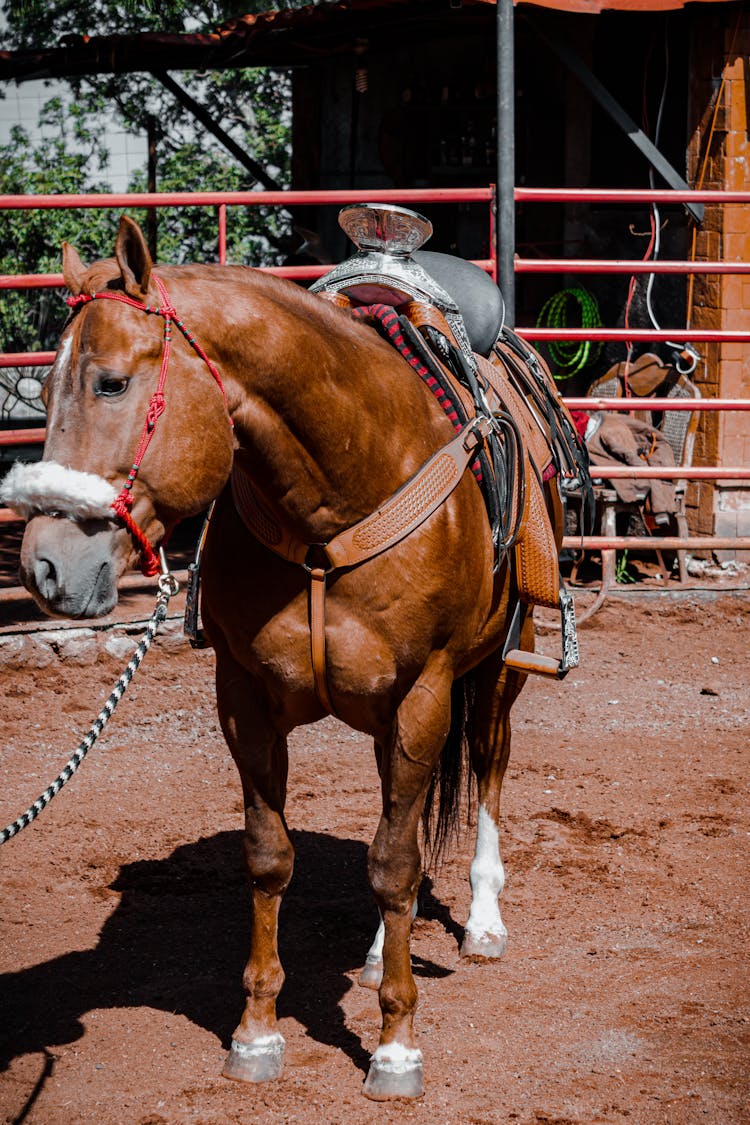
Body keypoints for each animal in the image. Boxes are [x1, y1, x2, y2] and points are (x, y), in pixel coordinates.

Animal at [10, 214, 562, 1102]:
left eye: (111, 383)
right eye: (47, 388)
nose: (46, 565)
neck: (333, 502)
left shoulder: (426, 692)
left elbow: (395, 862)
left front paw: (395, 1045)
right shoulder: (246, 698)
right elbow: (276, 858)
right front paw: (258, 1030)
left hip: (498, 672)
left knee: (485, 768)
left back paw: (482, 920)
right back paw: (375, 949)